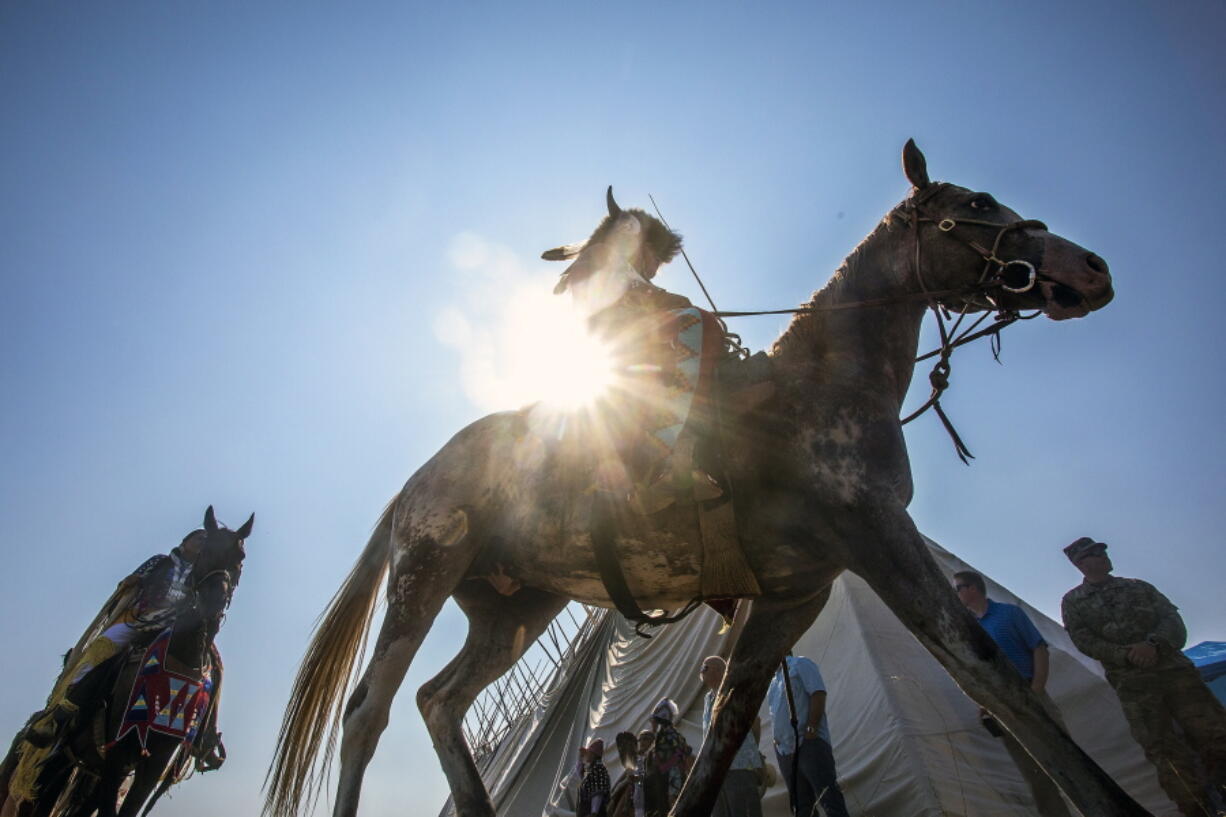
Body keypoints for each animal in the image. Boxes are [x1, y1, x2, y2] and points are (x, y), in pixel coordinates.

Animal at [1, 505, 251, 809]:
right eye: (204, 550)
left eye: (240, 557)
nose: (214, 600)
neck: (182, 659)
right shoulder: (118, 756)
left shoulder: (153, 766)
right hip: (56, 762)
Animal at [263, 141, 1142, 814]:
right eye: (978, 202)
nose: (1093, 267)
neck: (823, 386)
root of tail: (417, 478)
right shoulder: (876, 536)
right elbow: (988, 670)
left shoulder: (792, 596)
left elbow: (724, 729)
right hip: (426, 570)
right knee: (369, 710)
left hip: (512, 607)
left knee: (439, 701)